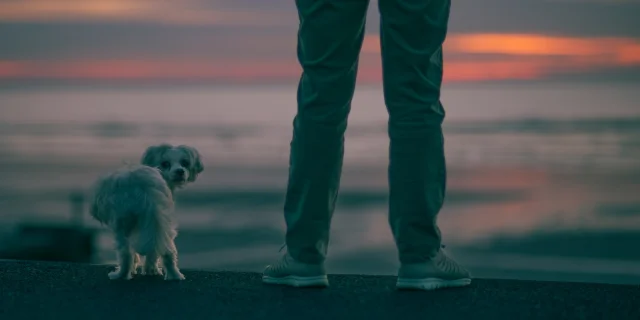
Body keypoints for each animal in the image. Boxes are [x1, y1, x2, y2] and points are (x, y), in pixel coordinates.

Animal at [89, 143, 202, 280]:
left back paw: (120, 275)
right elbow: (153, 251)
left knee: (125, 252)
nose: (180, 171)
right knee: (168, 252)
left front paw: (143, 268)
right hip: (162, 223)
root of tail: (139, 184)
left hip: (121, 224)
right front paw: (151, 270)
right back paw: (175, 276)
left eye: (184, 163)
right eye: (165, 163)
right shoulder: (157, 224)